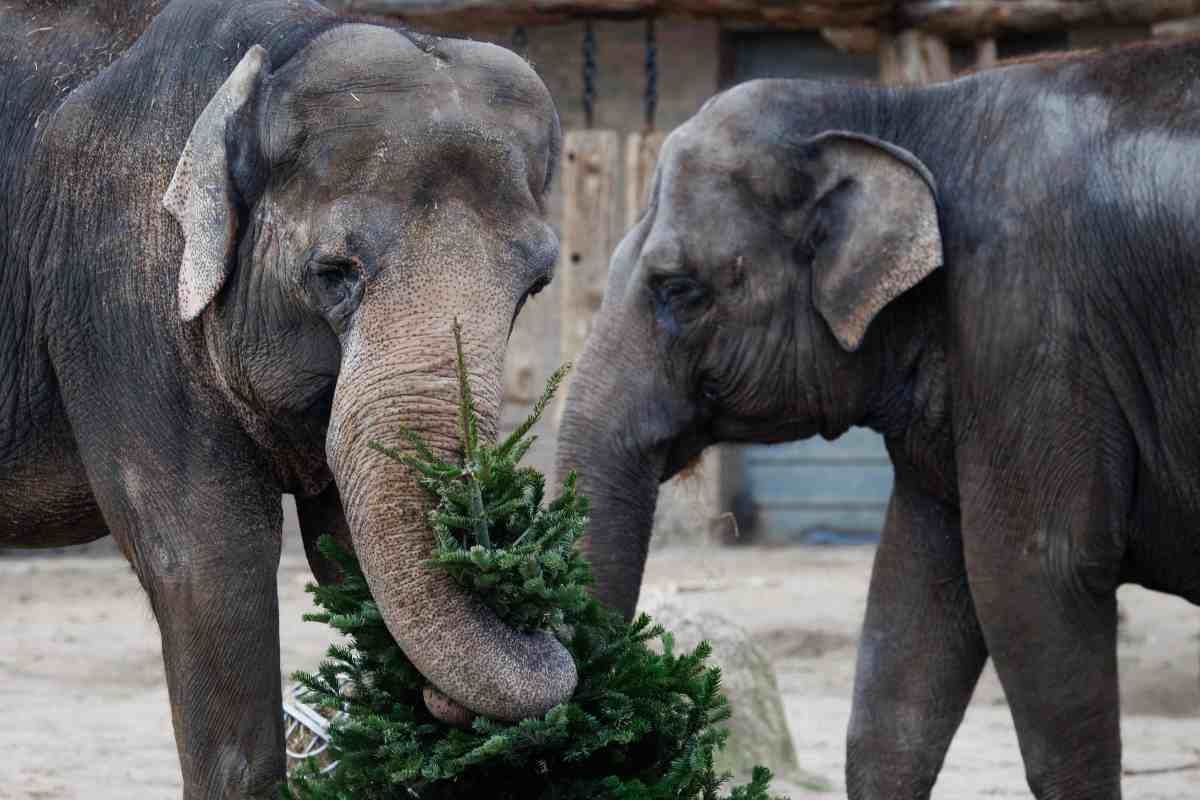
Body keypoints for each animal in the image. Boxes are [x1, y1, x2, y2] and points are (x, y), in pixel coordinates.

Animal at [1, 0, 571, 796]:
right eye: (333, 273)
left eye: (536, 286)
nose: (538, 615)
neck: (276, 45)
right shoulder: (117, 294)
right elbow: (208, 556)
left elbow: (351, 553)